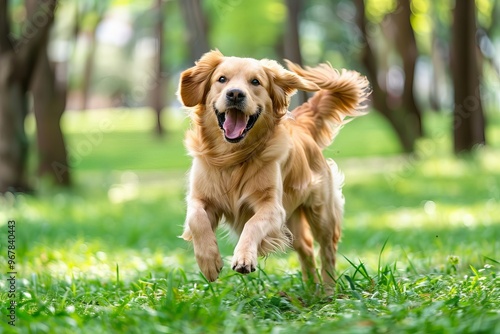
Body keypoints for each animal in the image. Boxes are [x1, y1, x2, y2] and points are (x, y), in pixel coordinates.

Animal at [178, 50, 370, 288]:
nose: (235, 94)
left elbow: (252, 224)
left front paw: (244, 257)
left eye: (255, 82)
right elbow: (196, 219)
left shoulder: (272, 207)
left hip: (321, 214)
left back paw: (327, 289)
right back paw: (312, 289)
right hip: (293, 222)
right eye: (221, 79)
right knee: (306, 249)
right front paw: (209, 261)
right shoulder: (201, 198)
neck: (233, 157)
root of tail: (301, 125)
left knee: (327, 251)